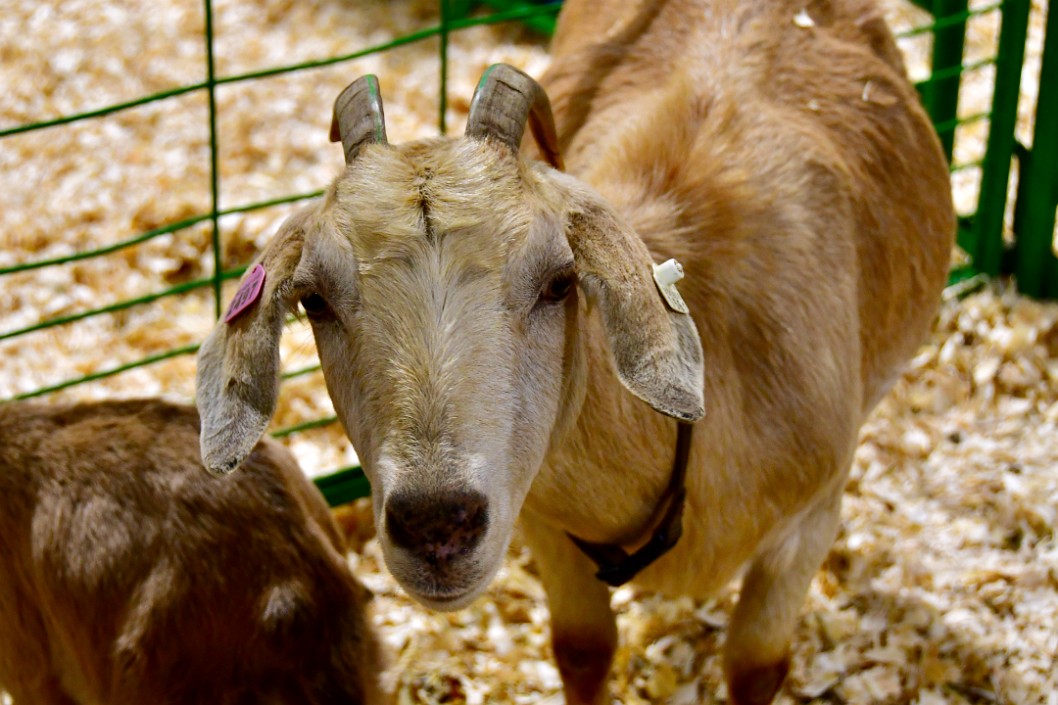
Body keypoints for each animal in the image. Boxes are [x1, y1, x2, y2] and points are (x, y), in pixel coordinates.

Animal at [194, 2, 956, 698]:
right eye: (315, 299)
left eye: (559, 280)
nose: (437, 524)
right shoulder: (543, 526)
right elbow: (583, 650)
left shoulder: (805, 524)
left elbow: (755, 667)